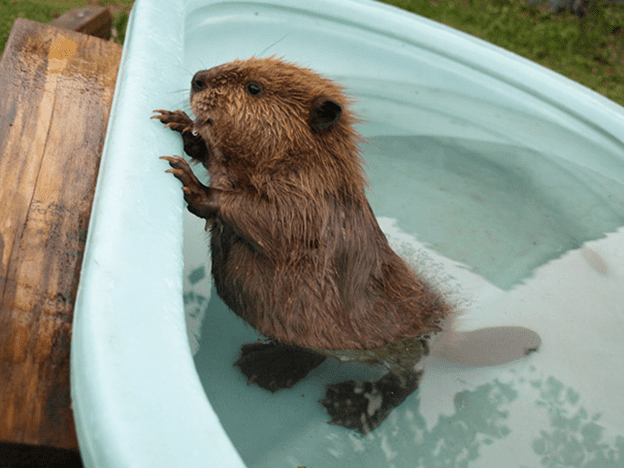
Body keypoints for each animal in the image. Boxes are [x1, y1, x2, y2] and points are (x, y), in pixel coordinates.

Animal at [152, 57, 540, 436]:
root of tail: (445, 336)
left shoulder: (311, 202)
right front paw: (180, 125)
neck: (310, 162)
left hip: (395, 347)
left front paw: (192, 182)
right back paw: (269, 365)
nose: (198, 79)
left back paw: (346, 402)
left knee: (408, 379)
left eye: (254, 87)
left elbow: (268, 219)